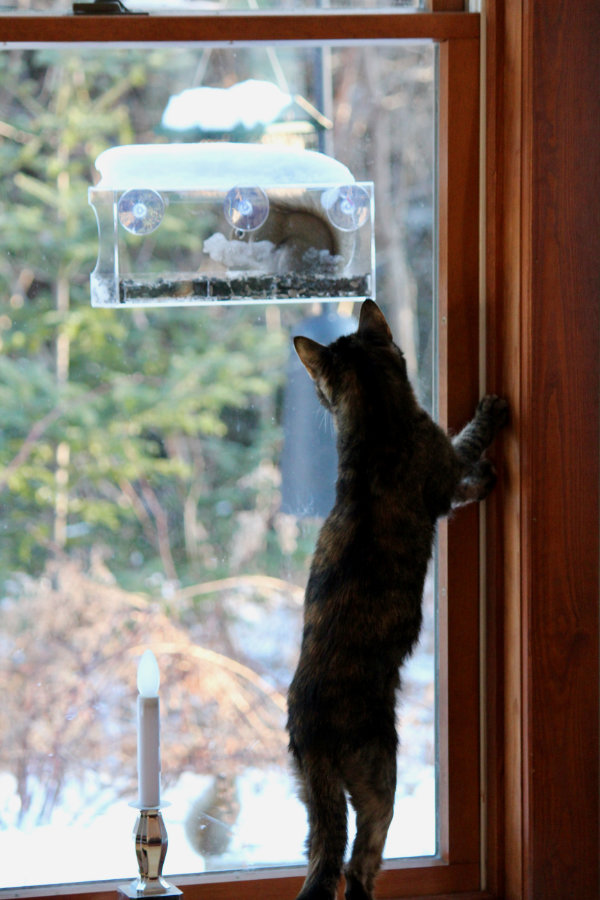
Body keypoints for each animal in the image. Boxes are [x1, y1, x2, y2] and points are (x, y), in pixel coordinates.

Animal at [286, 300, 506, 900]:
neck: (375, 421)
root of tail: (311, 727)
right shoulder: (444, 472)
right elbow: (465, 449)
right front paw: (491, 426)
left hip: (313, 802)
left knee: (326, 860)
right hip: (380, 775)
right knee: (358, 864)